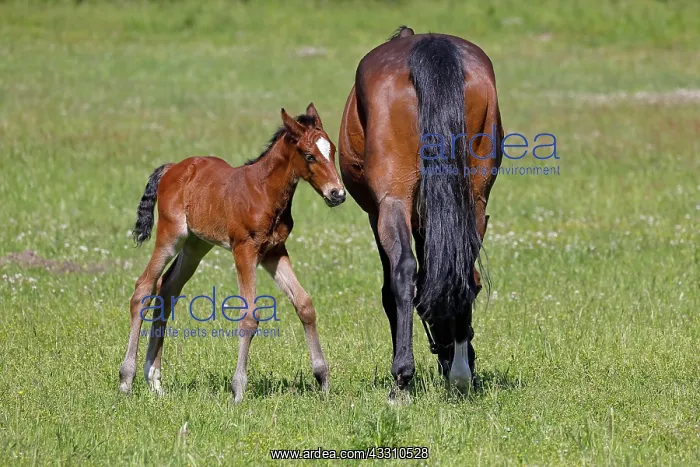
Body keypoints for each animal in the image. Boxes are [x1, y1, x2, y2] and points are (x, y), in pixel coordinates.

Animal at [118, 104, 346, 402]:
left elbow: (304, 304)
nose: (337, 194)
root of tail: (173, 168)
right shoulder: (244, 250)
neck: (264, 192)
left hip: (196, 245)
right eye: (309, 156)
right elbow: (249, 316)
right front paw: (238, 389)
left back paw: (155, 381)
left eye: (332, 151)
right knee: (144, 287)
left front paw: (323, 380)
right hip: (171, 236)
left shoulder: (274, 251)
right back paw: (126, 379)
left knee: (166, 290)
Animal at [338, 26, 503, 396]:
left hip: (392, 201)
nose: (448, 357)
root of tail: (429, 45)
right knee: (463, 269)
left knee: (403, 271)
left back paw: (403, 378)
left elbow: (391, 288)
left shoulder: (377, 213)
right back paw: (460, 374)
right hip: (474, 199)